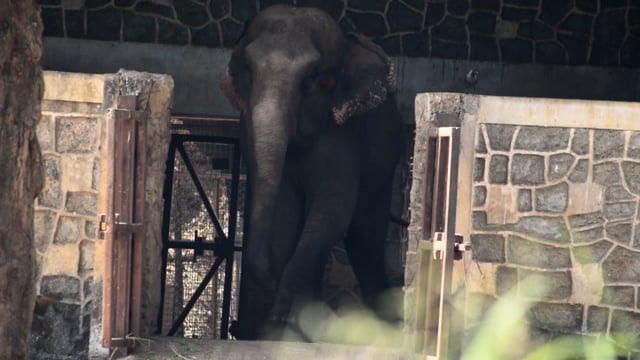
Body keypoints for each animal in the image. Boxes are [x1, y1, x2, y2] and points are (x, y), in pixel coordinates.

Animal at [222, 4, 402, 338]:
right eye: (248, 70)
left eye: (316, 78)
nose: (234, 326)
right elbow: (286, 219)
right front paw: (283, 323)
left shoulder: (343, 136)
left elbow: (330, 216)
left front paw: (282, 314)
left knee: (365, 240)